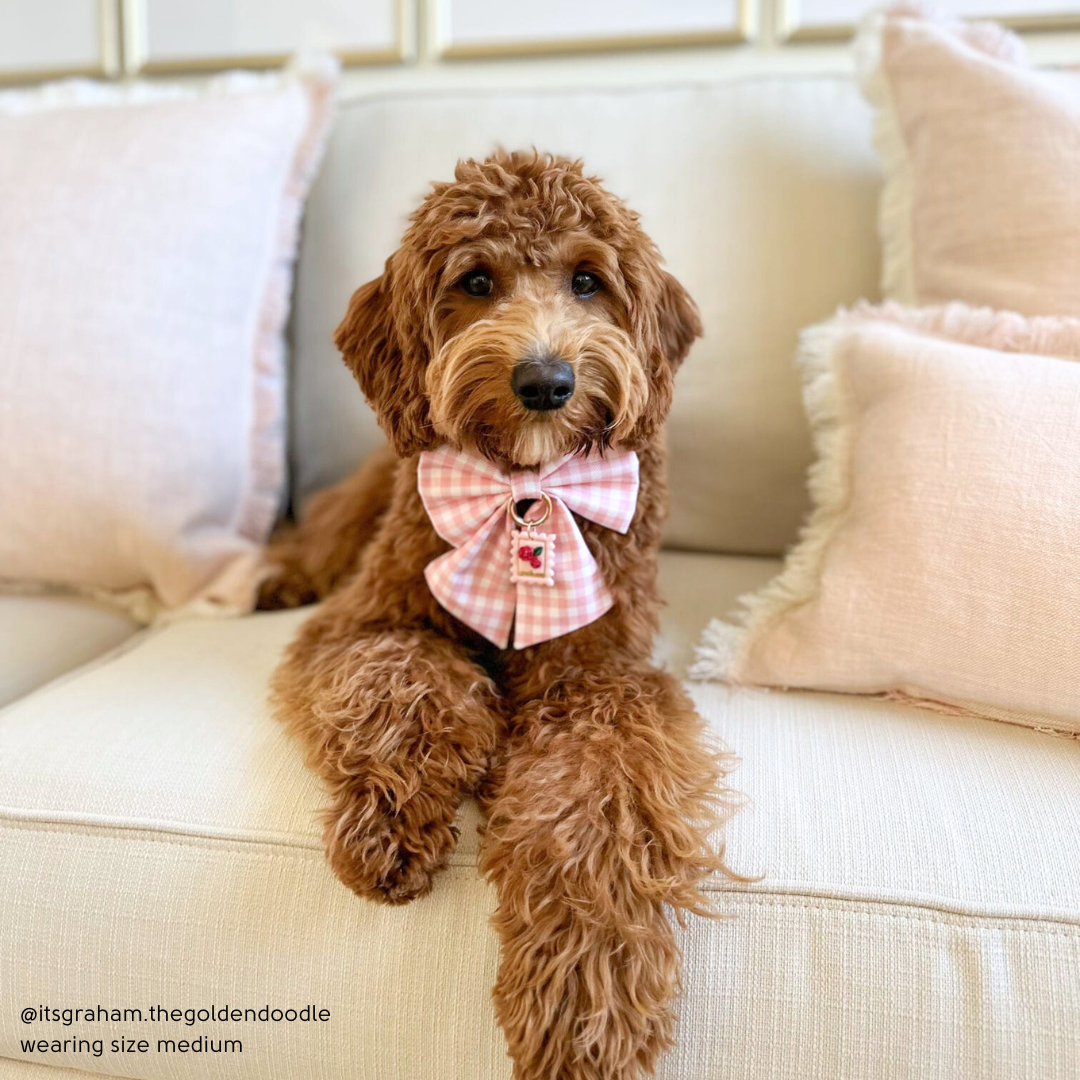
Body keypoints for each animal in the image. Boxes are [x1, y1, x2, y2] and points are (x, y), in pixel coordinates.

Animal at [259, 150, 743, 1080]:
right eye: (476, 280)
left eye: (588, 280)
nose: (545, 381)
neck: (523, 491)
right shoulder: (364, 622)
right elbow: (404, 680)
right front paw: (390, 824)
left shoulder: (599, 680)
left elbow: (594, 811)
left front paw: (586, 999)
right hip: (369, 496)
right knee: (324, 528)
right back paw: (274, 575)